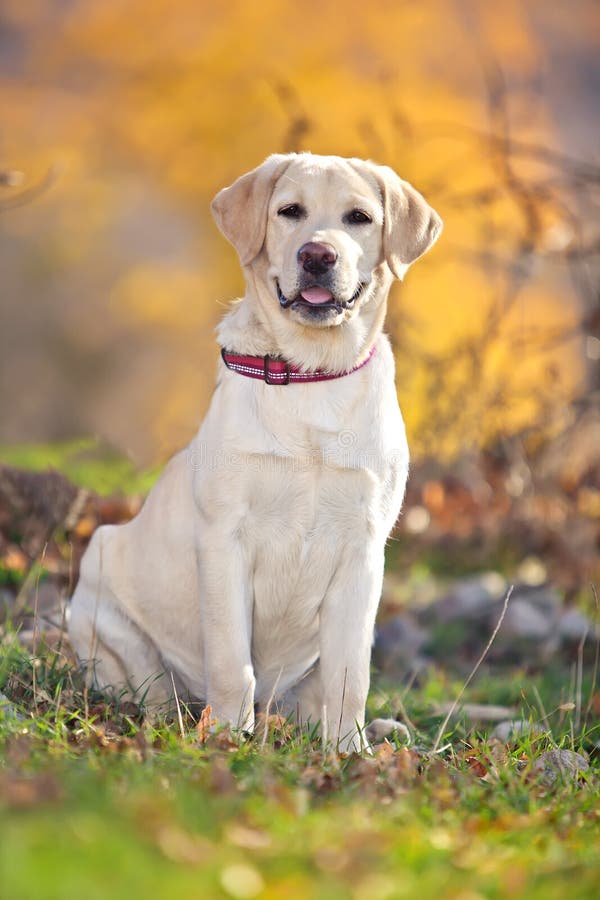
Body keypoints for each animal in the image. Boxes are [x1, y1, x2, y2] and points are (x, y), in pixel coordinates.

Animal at [69, 155, 440, 752]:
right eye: (290, 211)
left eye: (359, 217)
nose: (317, 256)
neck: (312, 374)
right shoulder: (226, 539)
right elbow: (230, 661)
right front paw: (226, 736)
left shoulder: (363, 551)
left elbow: (349, 675)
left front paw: (348, 751)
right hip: (99, 586)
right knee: (153, 690)